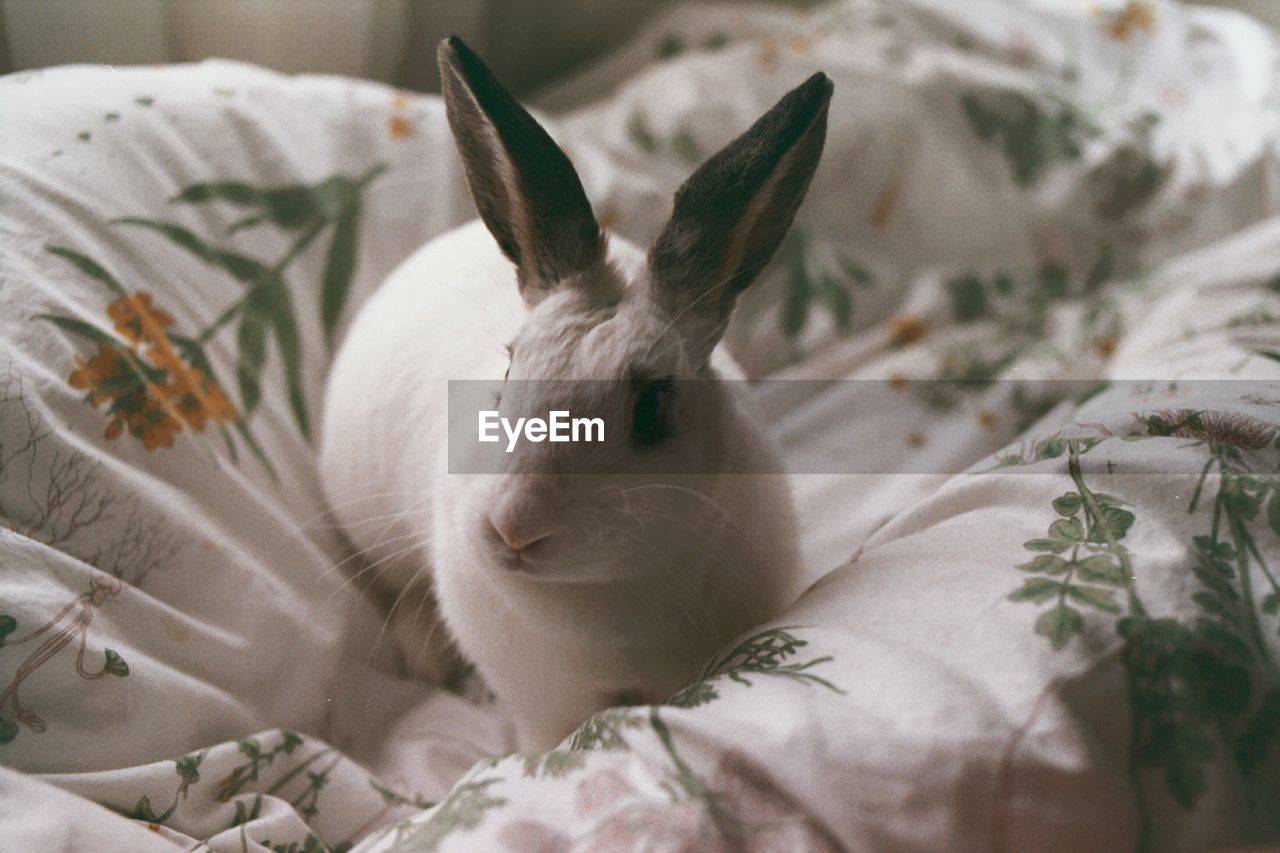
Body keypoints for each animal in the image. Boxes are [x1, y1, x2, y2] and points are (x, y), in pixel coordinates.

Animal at [320, 36, 829, 747]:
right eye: (507, 376)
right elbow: (545, 741)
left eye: (651, 409)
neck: (597, 600)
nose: (513, 526)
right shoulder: (545, 705)